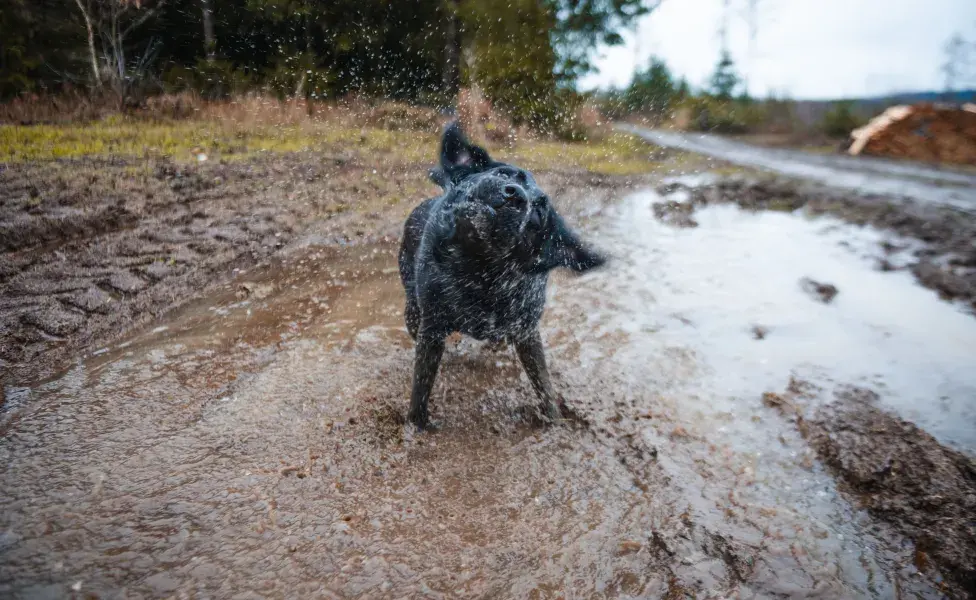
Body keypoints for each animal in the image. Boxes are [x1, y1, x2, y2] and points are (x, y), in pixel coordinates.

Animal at [396, 123, 604, 432]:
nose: (515, 194)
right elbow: (420, 387)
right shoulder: (431, 328)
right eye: (505, 174)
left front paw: (556, 423)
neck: (480, 272)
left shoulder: (526, 331)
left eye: (538, 211)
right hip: (413, 311)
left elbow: (545, 386)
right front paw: (416, 428)